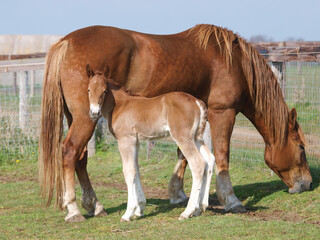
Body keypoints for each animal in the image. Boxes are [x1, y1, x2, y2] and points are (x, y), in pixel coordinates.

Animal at [87, 64, 215, 221]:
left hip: (184, 139)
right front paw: (139, 209)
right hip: (197, 138)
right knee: (209, 160)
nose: (94, 113)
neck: (120, 105)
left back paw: (187, 211)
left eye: (104, 91)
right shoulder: (135, 142)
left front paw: (128, 213)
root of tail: (197, 102)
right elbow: (136, 170)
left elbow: (128, 172)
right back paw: (200, 208)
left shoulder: (125, 141)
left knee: (198, 164)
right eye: (89, 89)